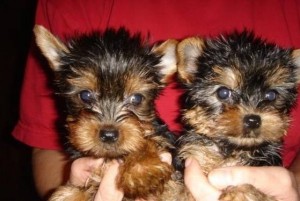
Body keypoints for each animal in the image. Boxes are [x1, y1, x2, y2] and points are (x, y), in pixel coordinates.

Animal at [176, 30, 300, 201]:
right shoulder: (194, 153)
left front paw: (238, 194)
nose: (253, 120)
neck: (233, 149)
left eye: (271, 95)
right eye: (223, 92)